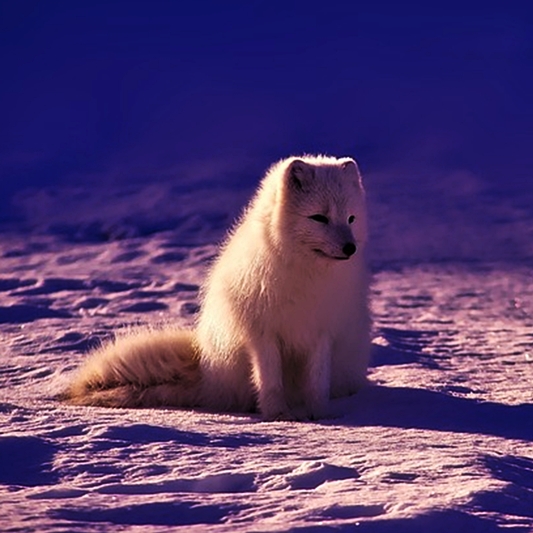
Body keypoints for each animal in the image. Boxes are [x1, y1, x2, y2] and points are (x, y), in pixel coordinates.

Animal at [64, 154, 368, 420]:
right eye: (319, 218)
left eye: (351, 218)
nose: (350, 248)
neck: (306, 275)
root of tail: (206, 372)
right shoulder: (262, 333)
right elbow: (270, 381)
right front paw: (279, 415)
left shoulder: (322, 331)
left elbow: (317, 382)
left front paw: (321, 415)